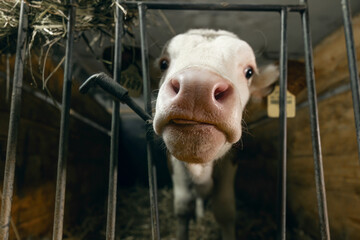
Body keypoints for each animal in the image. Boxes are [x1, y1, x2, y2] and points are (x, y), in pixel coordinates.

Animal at [152, 30, 278, 240]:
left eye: (249, 72)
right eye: (163, 63)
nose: (197, 87)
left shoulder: (230, 162)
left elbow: (224, 209)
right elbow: (183, 207)